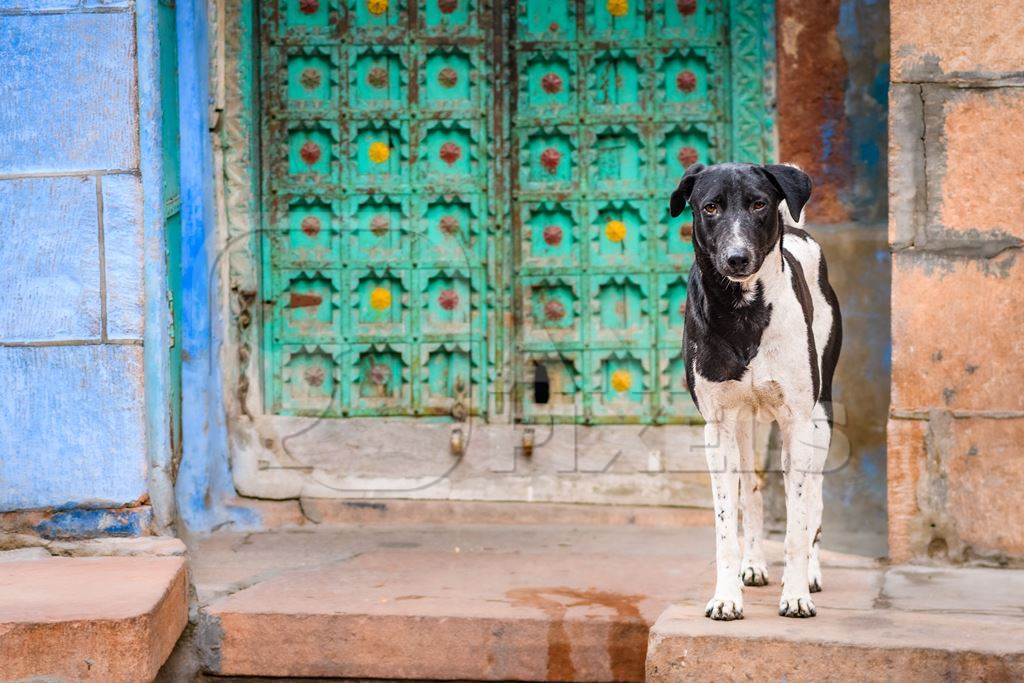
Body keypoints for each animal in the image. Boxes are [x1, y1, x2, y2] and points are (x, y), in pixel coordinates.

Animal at [671, 161, 839, 618]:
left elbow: (798, 522)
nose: (737, 258)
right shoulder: (719, 428)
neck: (742, 310)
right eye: (709, 207)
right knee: (753, 493)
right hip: (745, 430)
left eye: (759, 204)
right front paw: (726, 596)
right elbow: (727, 523)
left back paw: (811, 574)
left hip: (821, 419)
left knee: (814, 499)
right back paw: (755, 564)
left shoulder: (798, 422)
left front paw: (795, 594)